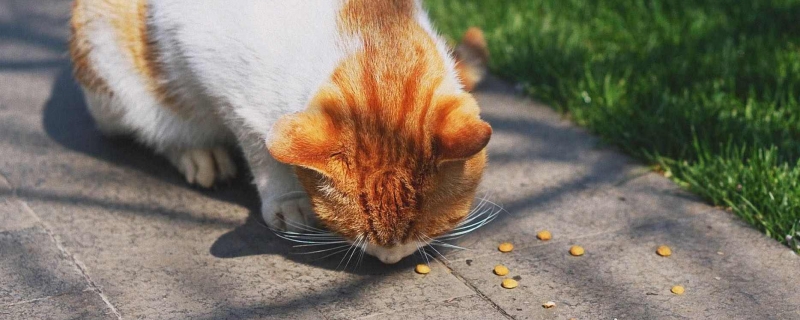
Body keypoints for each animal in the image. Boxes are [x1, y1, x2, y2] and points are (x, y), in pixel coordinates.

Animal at [69, 0, 490, 264]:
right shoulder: (219, 77)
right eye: (350, 229)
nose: (389, 259)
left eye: (430, 225)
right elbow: (259, 144)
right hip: (112, 81)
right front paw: (287, 198)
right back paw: (198, 152)